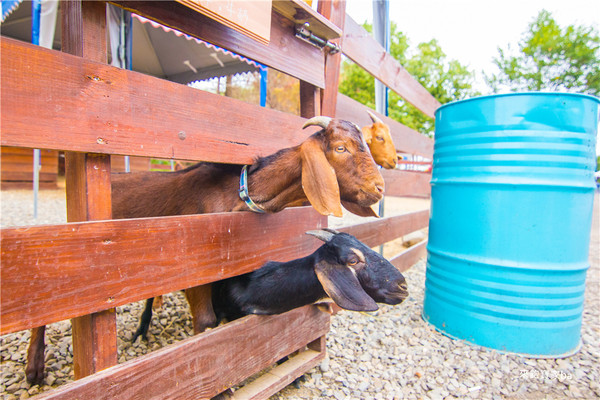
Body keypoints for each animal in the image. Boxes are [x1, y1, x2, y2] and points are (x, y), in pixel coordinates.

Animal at [24, 116, 384, 384]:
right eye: (340, 148)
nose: (379, 188)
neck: (236, 198)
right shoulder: (197, 273)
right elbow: (208, 324)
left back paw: (141, 329)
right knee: (43, 304)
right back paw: (34, 369)